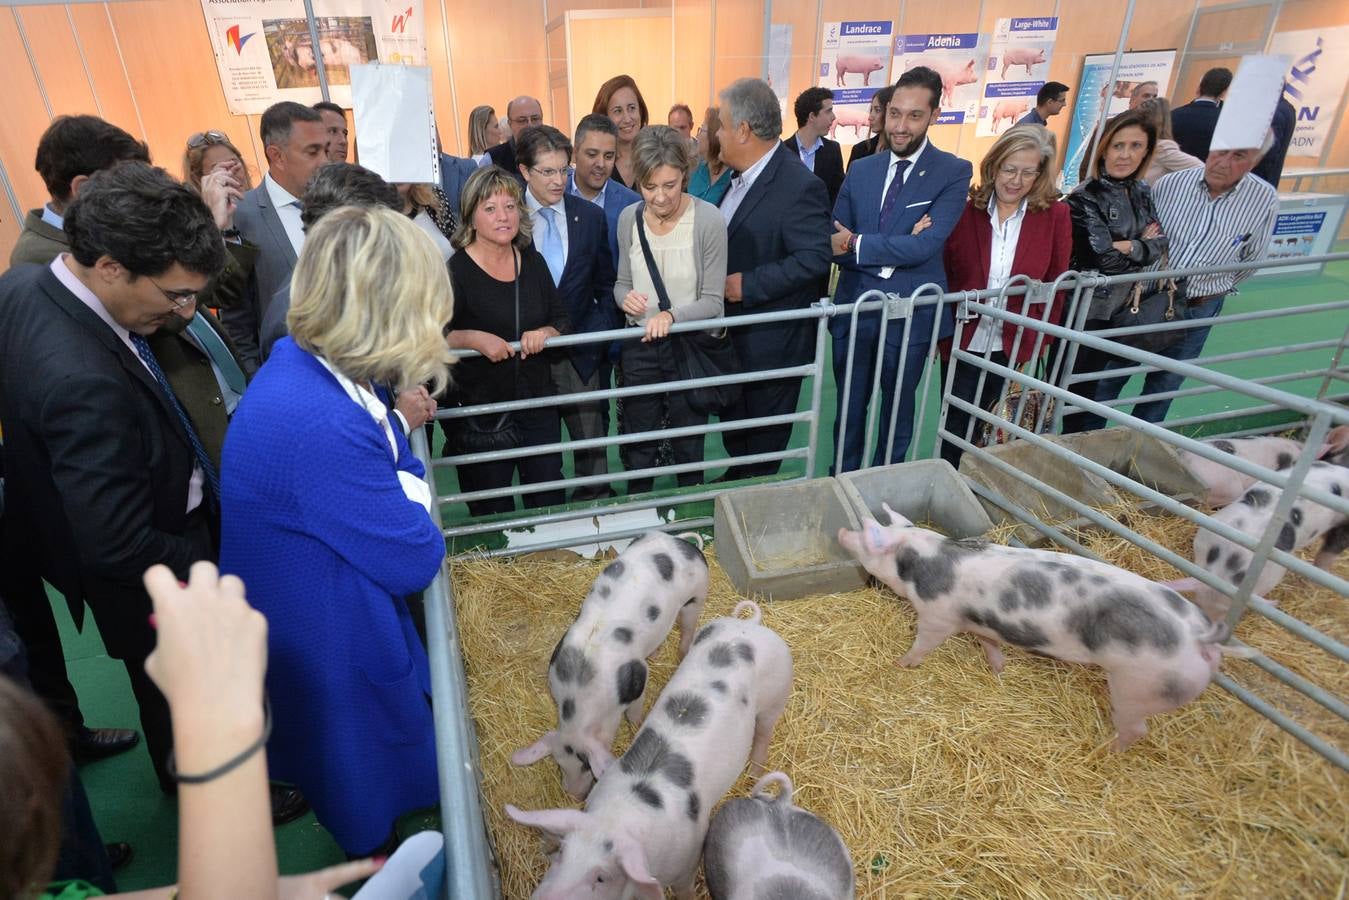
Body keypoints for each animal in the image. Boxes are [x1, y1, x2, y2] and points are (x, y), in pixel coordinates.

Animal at [509, 531, 712, 798]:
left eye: (586, 766)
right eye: (559, 763)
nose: (576, 796)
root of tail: (682, 543)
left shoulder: (638, 677)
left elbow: (635, 710)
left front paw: (636, 725)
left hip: (696, 596)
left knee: (688, 625)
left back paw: (682, 654)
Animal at [836, 504, 1246, 750]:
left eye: (869, 536)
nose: (841, 531)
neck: (926, 560)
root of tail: (1201, 636)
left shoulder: (939, 616)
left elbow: (923, 643)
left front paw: (902, 663)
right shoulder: (981, 622)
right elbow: (988, 642)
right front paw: (998, 670)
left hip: (1139, 686)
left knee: (1137, 728)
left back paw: (1107, 751)